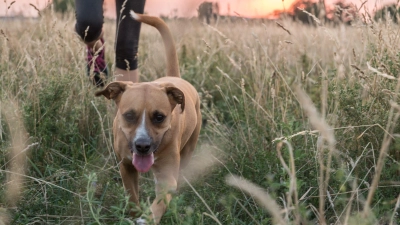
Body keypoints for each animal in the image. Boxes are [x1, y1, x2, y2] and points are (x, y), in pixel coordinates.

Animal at [95, 11, 202, 223]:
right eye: (129, 115)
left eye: (159, 117)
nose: (142, 146)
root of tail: (175, 78)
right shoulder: (126, 166)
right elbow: (131, 196)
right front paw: (135, 214)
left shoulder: (167, 176)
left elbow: (160, 202)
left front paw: (147, 218)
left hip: (189, 147)